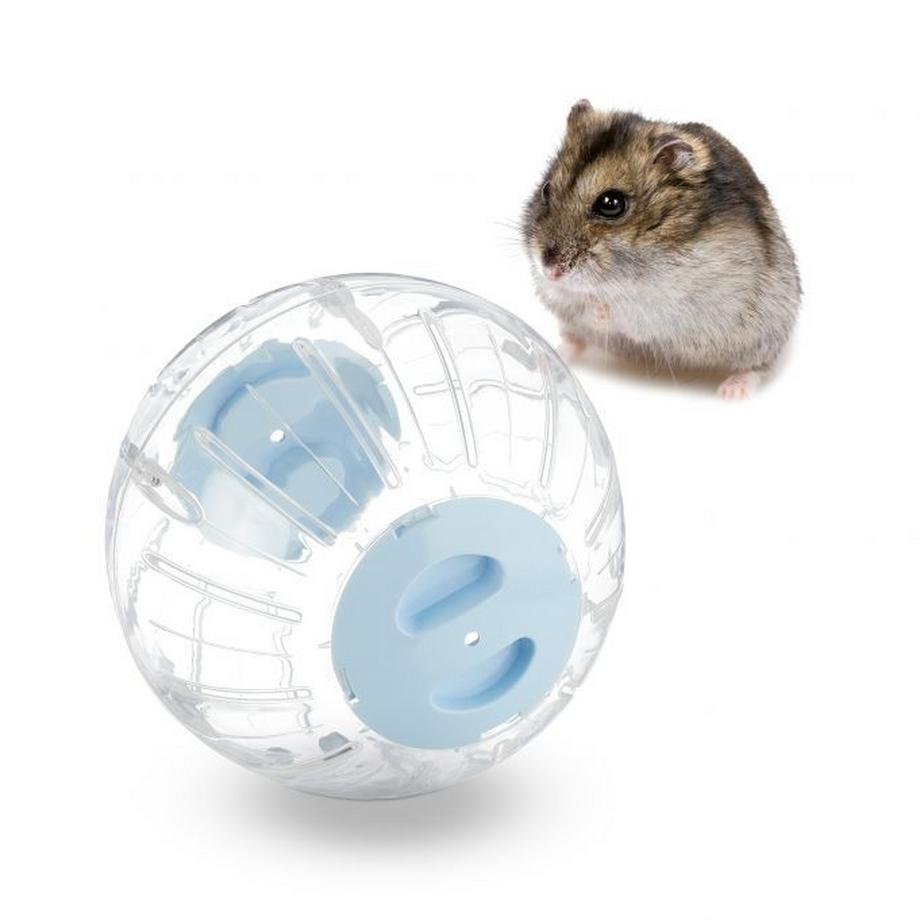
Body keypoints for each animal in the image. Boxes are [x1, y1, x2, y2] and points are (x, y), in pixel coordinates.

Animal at [522, 101, 800, 398]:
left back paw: (732, 392)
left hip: (764, 336)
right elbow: (571, 299)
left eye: (611, 203)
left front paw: (600, 307)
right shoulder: (552, 291)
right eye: (546, 189)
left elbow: (624, 309)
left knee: (758, 367)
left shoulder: (672, 303)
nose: (550, 270)